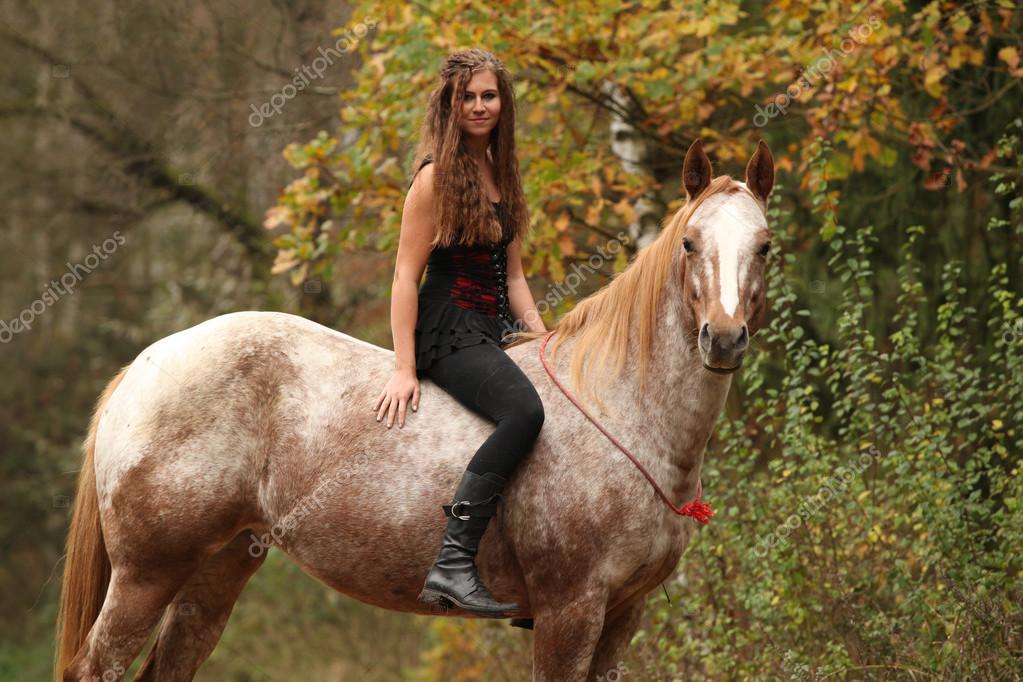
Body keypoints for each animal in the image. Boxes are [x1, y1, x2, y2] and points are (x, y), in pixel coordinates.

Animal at [55, 138, 775, 681]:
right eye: (689, 243)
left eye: (764, 245)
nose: (723, 338)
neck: (621, 409)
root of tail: (145, 365)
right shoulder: (569, 612)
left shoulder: (623, 615)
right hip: (146, 576)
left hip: (215, 573)